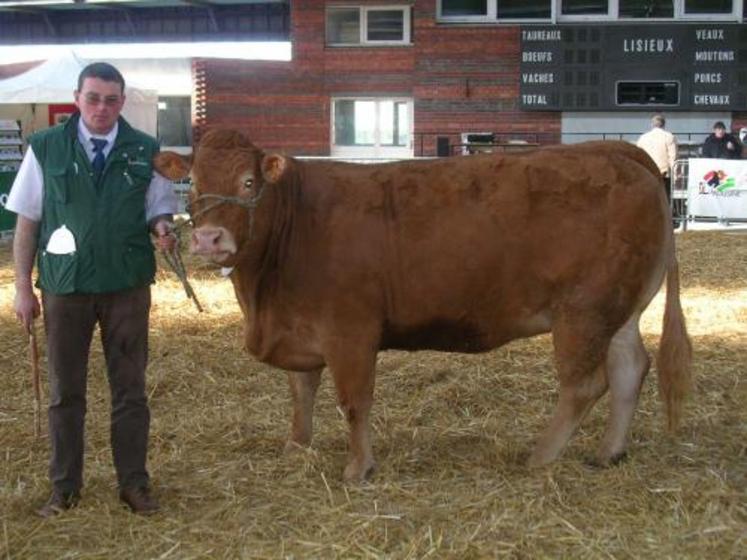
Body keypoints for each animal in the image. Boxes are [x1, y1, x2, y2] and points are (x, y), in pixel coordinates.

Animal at [155, 131, 692, 482]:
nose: (208, 238)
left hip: (582, 311)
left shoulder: (350, 330)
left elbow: (353, 400)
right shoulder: (301, 328)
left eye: (248, 183)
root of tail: (617, 151)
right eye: (194, 184)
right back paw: (608, 452)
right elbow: (301, 392)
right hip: (618, 311)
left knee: (585, 384)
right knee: (629, 368)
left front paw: (358, 468)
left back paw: (540, 457)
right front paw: (295, 447)